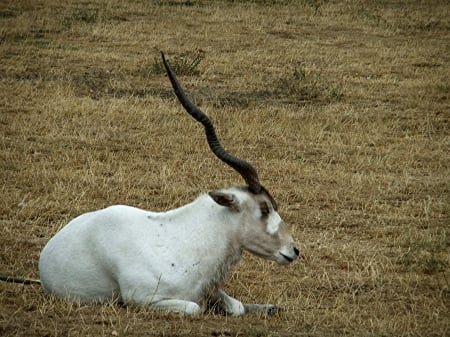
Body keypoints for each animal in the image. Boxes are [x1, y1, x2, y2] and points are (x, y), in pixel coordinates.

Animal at [12, 51, 298, 314]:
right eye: (264, 208)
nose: (293, 250)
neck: (185, 241)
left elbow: (236, 306)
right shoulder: (142, 298)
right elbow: (195, 308)